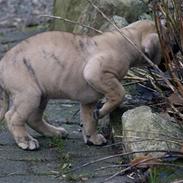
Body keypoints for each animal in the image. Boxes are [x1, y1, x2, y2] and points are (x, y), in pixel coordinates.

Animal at [0, 20, 160, 149]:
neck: (128, 38)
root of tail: (2, 64)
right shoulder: (96, 73)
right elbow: (119, 93)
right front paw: (102, 111)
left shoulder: (89, 99)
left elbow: (89, 120)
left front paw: (92, 138)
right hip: (29, 95)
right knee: (12, 117)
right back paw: (25, 141)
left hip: (41, 96)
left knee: (34, 118)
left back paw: (54, 132)